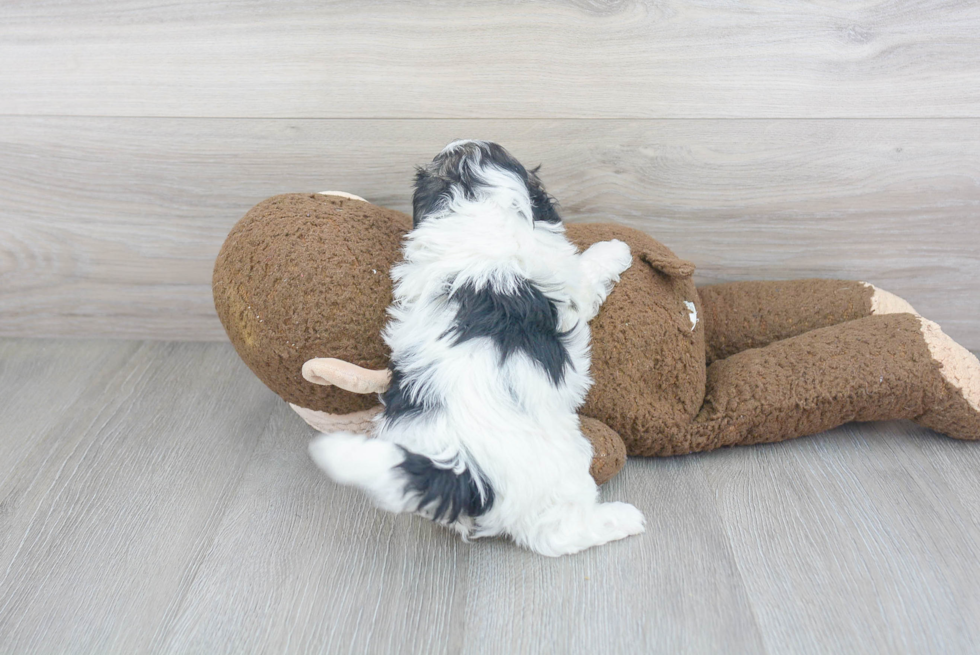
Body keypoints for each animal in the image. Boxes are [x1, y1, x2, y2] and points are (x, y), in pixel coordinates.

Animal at [308, 141, 644, 556]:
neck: (476, 204)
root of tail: (461, 470)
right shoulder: (567, 280)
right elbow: (588, 270)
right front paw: (615, 249)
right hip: (559, 470)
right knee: (560, 532)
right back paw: (622, 519)